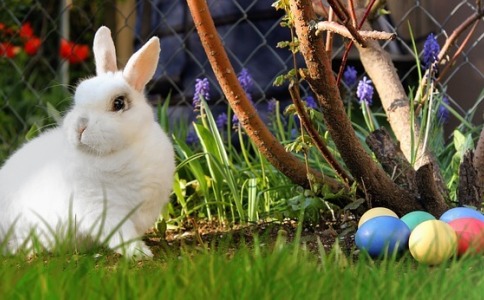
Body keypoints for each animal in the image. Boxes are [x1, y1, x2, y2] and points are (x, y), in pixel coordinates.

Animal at [0, 27, 174, 258]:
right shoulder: (101, 209)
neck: (121, 152)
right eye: (77, 98)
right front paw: (140, 253)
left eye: (119, 103)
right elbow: (121, 235)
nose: (80, 127)